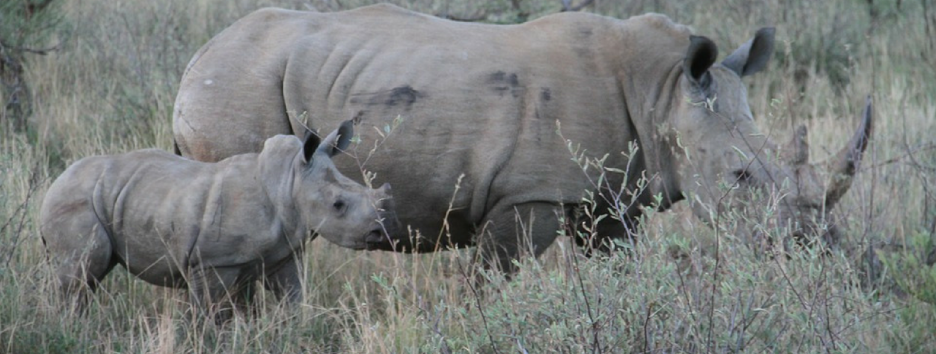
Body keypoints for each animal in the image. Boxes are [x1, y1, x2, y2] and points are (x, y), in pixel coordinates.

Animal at [39, 119, 392, 316]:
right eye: (338, 205)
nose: (378, 233)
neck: (289, 180)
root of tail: (55, 183)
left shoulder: (284, 253)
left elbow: (293, 300)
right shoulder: (212, 262)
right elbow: (210, 315)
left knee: (89, 275)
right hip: (76, 201)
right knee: (82, 272)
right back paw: (67, 327)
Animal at [172, 4, 872, 272]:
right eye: (741, 177)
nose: (815, 249)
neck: (663, 89)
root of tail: (193, 60)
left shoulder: (610, 199)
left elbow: (616, 268)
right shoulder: (526, 194)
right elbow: (491, 281)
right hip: (234, 84)